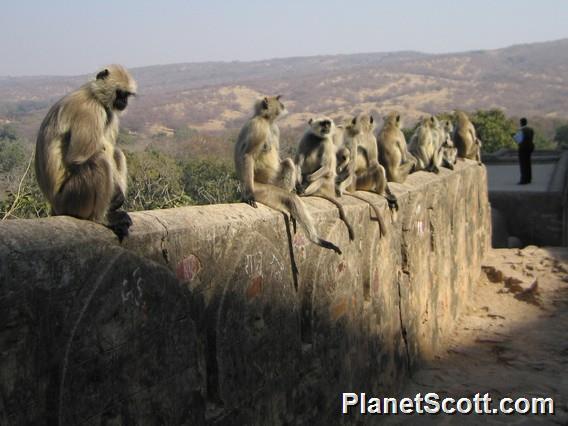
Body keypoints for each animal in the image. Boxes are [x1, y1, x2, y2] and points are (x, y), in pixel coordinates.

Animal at [35, 65, 138, 241]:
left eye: (126, 95)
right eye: (120, 93)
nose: (124, 102)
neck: (93, 94)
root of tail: (54, 205)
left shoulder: (108, 113)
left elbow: (110, 148)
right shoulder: (89, 110)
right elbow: (78, 158)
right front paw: (116, 197)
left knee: (116, 153)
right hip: (70, 199)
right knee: (99, 161)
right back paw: (101, 218)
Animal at [235, 96, 342, 255]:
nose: (282, 104)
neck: (267, 121)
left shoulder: (275, 129)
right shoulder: (257, 127)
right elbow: (247, 155)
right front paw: (248, 196)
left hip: (273, 182)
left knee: (288, 163)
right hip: (261, 188)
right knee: (290, 199)